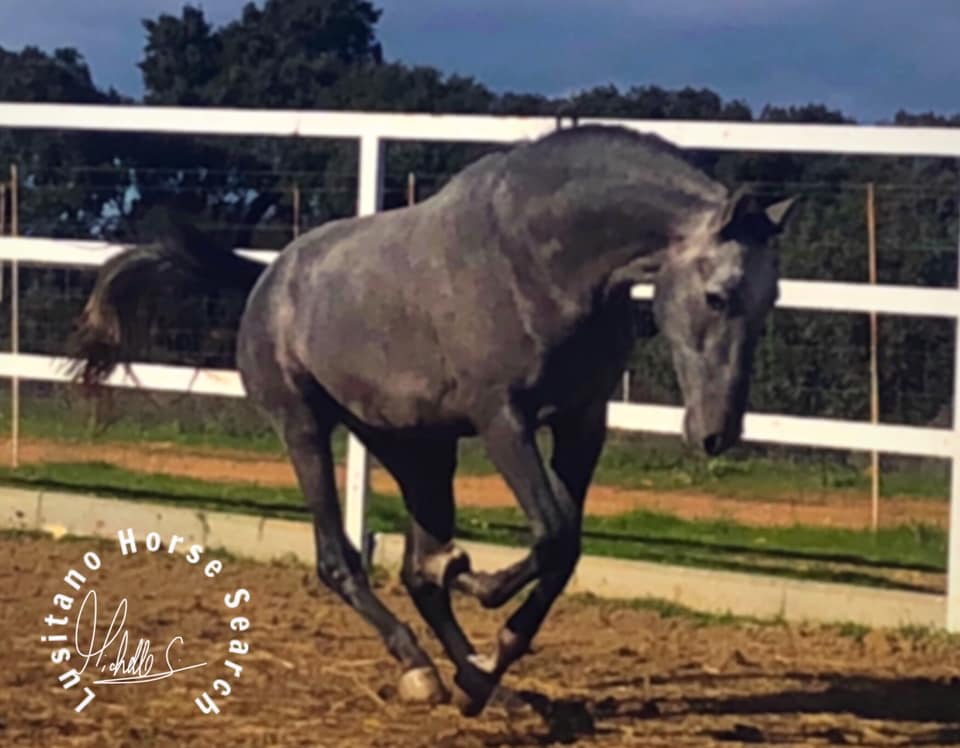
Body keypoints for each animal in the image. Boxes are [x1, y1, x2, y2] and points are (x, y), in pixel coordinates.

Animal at [69, 124, 797, 715]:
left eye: (772, 301)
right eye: (718, 295)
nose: (717, 434)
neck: (542, 261)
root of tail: (267, 279)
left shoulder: (581, 422)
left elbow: (565, 549)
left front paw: (490, 660)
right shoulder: (503, 418)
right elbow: (552, 533)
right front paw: (477, 584)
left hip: (416, 449)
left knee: (416, 575)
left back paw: (471, 677)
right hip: (305, 429)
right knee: (341, 561)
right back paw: (421, 666)